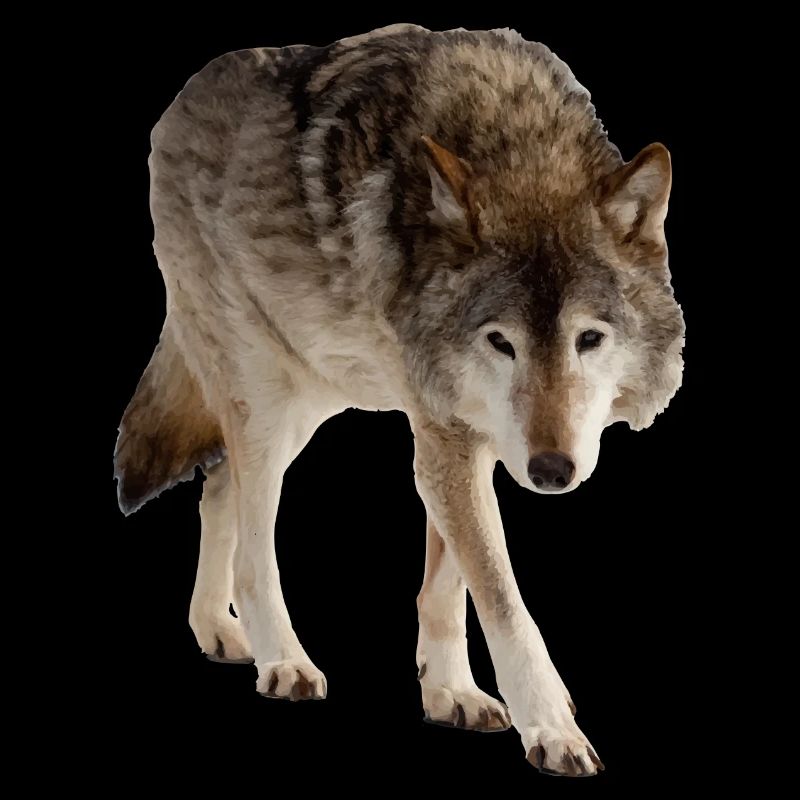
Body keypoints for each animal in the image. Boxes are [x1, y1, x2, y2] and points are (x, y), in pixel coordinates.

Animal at [114, 24, 684, 776]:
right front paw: (553, 729)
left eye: (589, 338)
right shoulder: (446, 435)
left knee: (216, 487)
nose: (550, 472)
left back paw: (216, 628)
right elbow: (502, 600)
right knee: (252, 541)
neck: (516, 139)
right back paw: (282, 660)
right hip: (265, 399)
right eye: (501, 343)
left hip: (308, 397)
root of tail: (181, 98)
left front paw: (449, 693)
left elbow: (445, 588)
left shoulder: (457, 435)